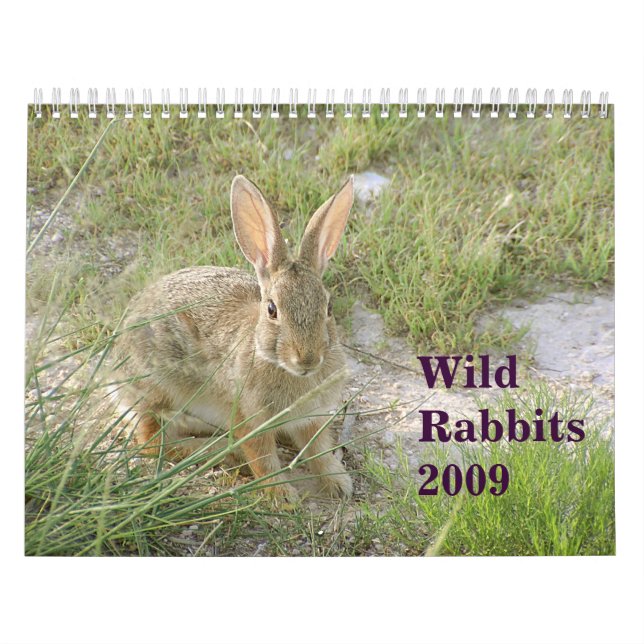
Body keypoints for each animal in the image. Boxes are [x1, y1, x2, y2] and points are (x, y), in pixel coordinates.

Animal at [111, 175, 355, 502]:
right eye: (272, 309)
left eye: (328, 307)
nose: (307, 359)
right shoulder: (249, 419)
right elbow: (262, 458)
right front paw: (282, 496)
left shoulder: (311, 417)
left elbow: (318, 449)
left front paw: (339, 483)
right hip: (158, 385)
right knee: (152, 441)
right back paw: (218, 450)